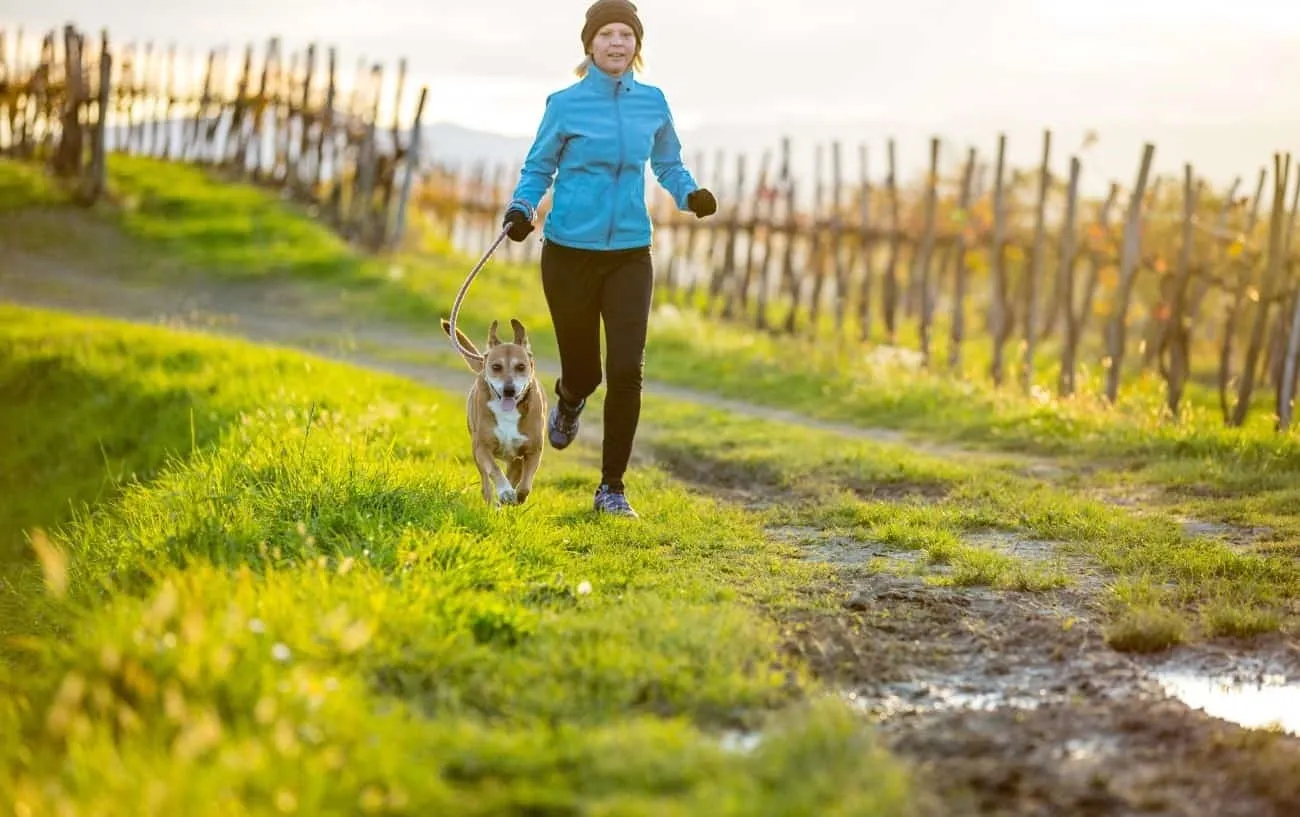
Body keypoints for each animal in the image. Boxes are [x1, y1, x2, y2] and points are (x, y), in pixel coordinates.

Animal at [439, 317, 546, 504]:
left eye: (521, 367)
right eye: (496, 367)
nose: (509, 390)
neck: (509, 413)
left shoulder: (533, 450)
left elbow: (525, 485)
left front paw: (517, 496)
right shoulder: (482, 448)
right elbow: (494, 469)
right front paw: (505, 491)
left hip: (514, 460)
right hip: (476, 451)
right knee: (486, 482)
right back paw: (493, 499)